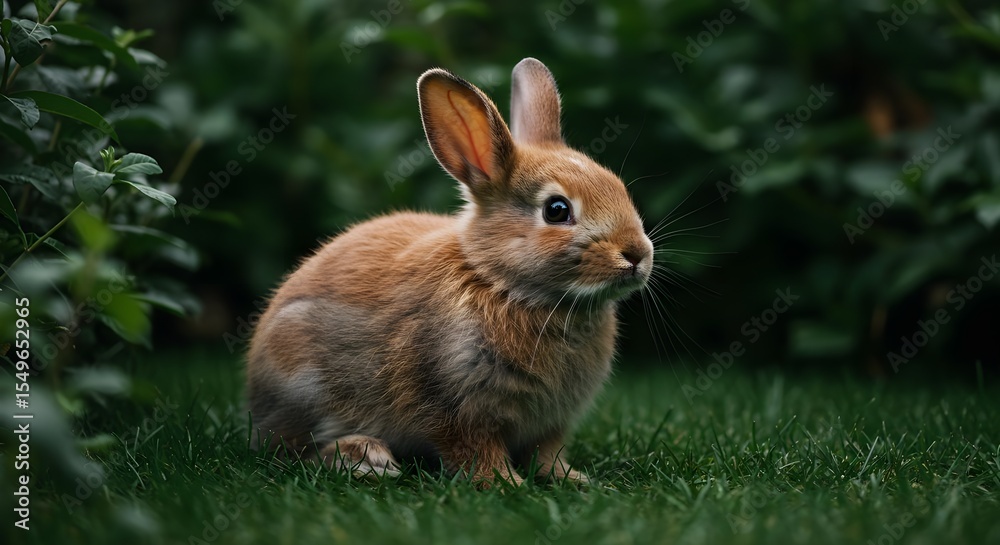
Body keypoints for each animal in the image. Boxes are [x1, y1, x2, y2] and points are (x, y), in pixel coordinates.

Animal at [246, 57, 653, 487]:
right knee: (292, 451)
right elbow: (473, 450)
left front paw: (573, 479)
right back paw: (366, 458)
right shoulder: (454, 406)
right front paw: (505, 485)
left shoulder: (550, 424)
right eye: (556, 210)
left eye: (618, 186)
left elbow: (547, 455)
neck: (505, 285)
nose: (637, 255)